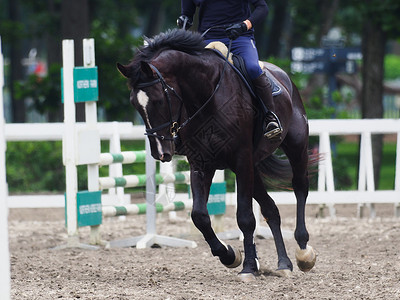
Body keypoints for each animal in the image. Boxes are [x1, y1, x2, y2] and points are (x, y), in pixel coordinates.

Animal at [115, 28, 316, 282]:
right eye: (135, 104)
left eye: (159, 100)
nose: (161, 152)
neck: (205, 95)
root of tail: (283, 76)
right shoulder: (201, 163)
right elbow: (199, 216)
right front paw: (230, 255)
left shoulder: (241, 160)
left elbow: (245, 217)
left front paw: (248, 267)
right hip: (252, 167)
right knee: (271, 209)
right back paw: (283, 263)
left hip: (294, 146)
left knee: (300, 187)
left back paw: (303, 252)